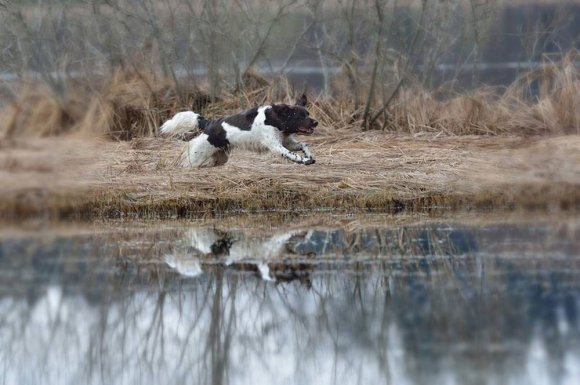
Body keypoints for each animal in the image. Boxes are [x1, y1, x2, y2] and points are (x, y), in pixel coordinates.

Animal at [160, 94, 318, 166]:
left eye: (308, 113)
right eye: (300, 116)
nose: (316, 122)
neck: (275, 120)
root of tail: (209, 123)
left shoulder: (286, 141)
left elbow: (303, 145)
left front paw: (309, 156)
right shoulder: (275, 145)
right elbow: (292, 154)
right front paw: (303, 160)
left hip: (220, 157)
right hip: (199, 154)